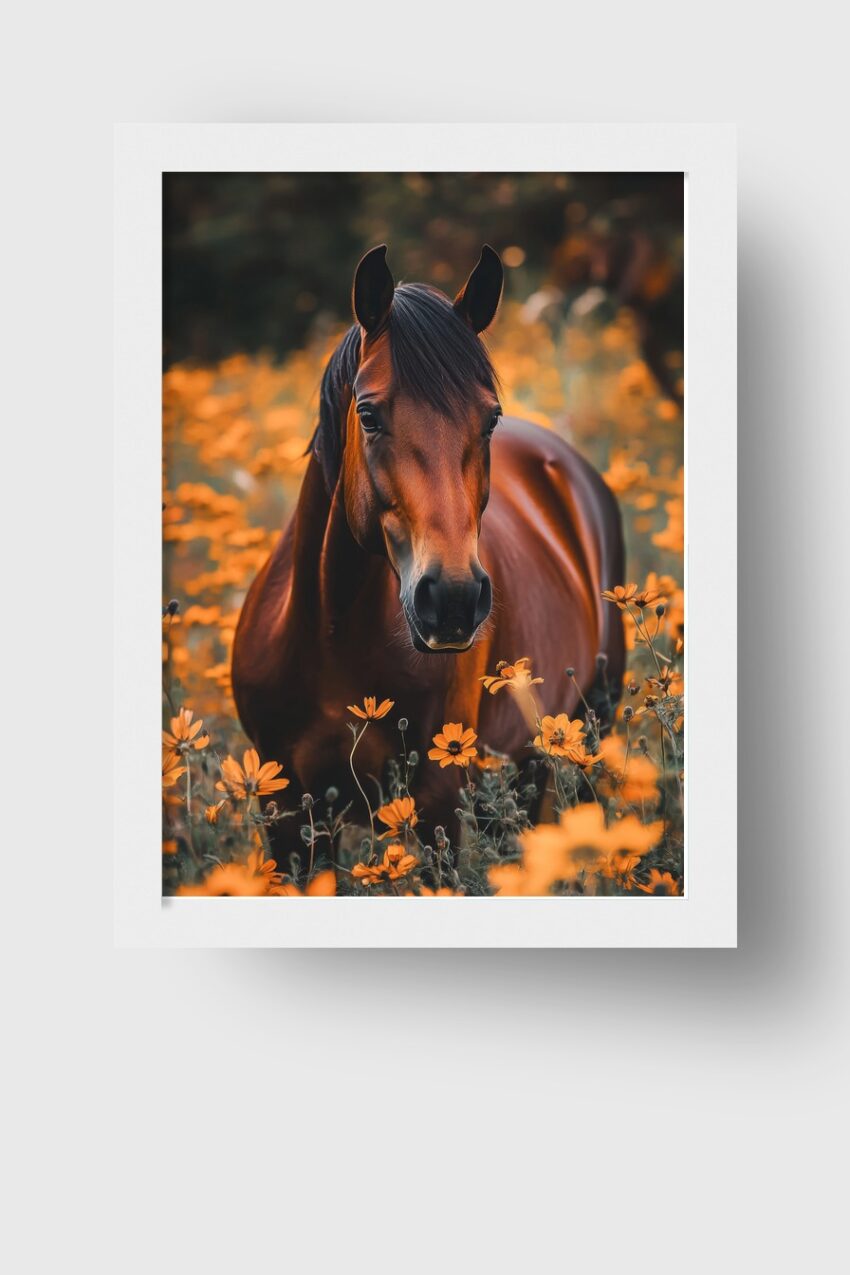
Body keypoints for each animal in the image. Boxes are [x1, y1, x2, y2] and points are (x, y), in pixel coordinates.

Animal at [232, 244, 625, 861]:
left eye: (490, 418)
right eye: (368, 415)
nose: (454, 600)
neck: (330, 638)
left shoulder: (439, 803)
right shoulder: (288, 813)